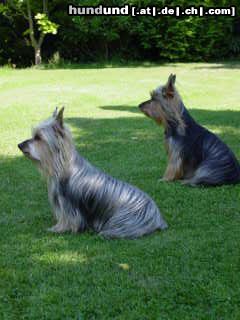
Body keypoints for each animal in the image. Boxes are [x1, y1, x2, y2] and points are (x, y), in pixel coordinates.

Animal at [17, 107, 168, 238]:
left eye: (38, 137)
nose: (19, 145)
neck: (62, 167)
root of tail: (156, 217)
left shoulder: (69, 206)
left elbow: (68, 220)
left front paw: (58, 229)